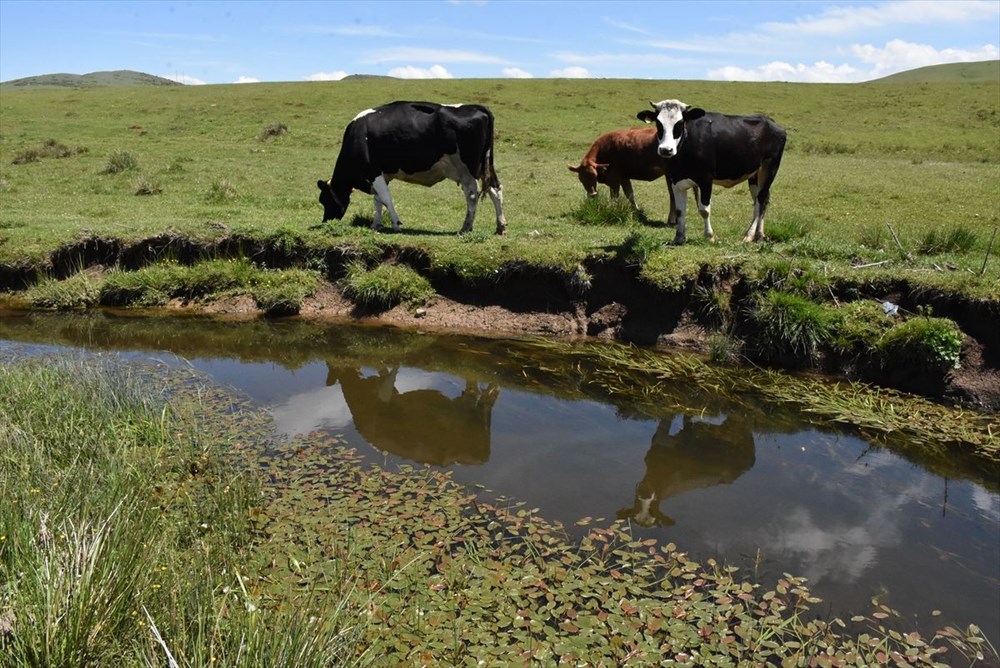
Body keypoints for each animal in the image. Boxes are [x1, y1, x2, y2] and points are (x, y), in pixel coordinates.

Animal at [314, 99, 504, 235]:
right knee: (495, 189)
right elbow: (378, 200)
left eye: (324, 200)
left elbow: (386, 198)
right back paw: (500, 227)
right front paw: (376, 224)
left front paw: (396, 224)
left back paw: (466, 228)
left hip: (468, 169)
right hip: (485, 165)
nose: (325, 221)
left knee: (472, 194)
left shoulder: (373, 172)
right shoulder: (382, 174)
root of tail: (476, 107)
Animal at [636, 99, 784, 245]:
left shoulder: (705, 179)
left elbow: (704, 210)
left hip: (770, 167)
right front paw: (679, 237)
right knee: (760, 200)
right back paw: (758, 234)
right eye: (658, 123)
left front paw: (709, 236)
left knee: (761, 199)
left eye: (680, 123)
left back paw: (750, 234)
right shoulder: (675, 180)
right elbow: (680, 211)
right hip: (754, 174)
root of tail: (771, 122)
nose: (666, 150)